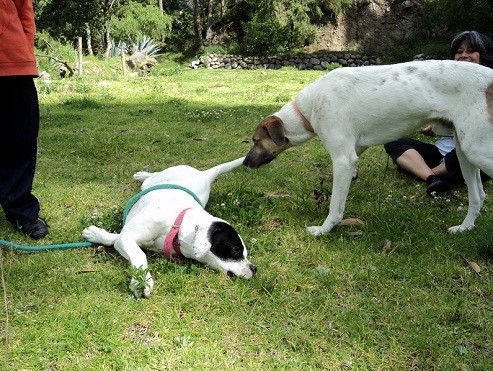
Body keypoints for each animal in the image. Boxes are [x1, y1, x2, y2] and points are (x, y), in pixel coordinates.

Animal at [81, 158, 256, 300]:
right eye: (236, 249)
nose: (254, 269)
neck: (176, 224)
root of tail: (203, 174)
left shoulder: (125, 237)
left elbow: (115, 239)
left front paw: (95, 234)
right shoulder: (128, 236)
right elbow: (138, 253)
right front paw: (141, 281)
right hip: (156, 179)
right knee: (150, 177)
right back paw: (142, 174)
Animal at [244, 60, 492, 237]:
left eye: (255, 141)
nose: (245, 163)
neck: (309, 107)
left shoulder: (343, 160)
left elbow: (335, 206)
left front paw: (324, 230)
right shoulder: (356, 150)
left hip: (477, 150)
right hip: (464, 150)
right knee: (478, 195)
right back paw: (464, 228)